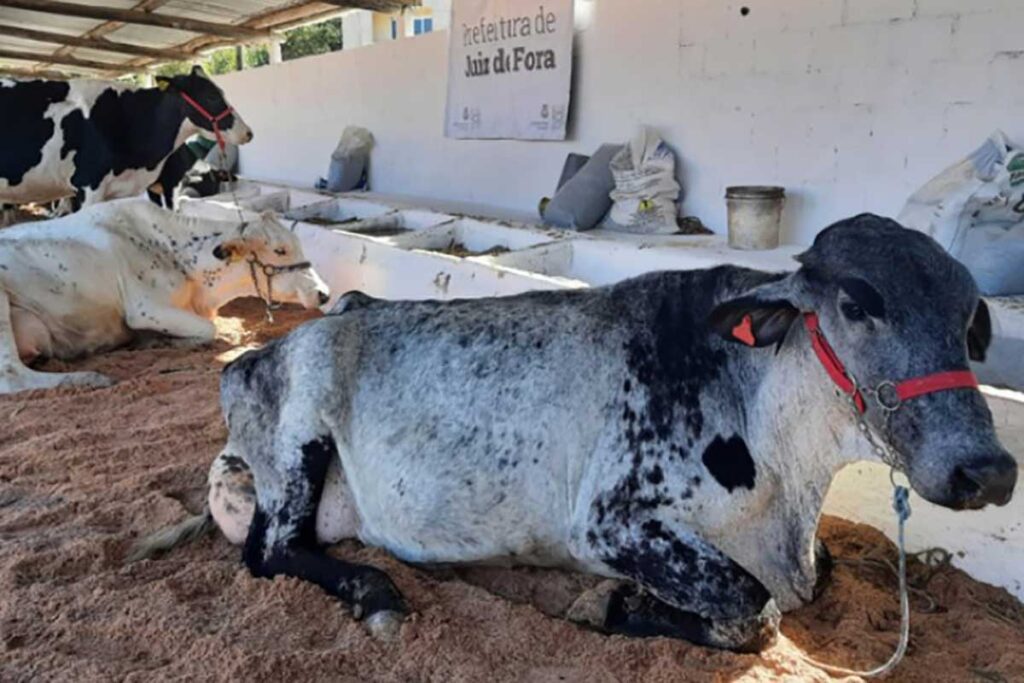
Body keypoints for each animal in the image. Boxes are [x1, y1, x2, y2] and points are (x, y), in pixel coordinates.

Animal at [0, 197, 327, 395]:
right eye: (280, 250)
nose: (323, 293)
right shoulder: (144, 309)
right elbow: (208, 330)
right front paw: (162, 342)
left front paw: (151, 341)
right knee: (11, 375)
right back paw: (88, 379)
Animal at [134, 214, 1015, 651]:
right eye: (857, 303)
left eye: (970, 315)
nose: (990, 470)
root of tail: (250, 360)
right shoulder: (611, 518)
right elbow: (753, 607)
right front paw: (608, 603)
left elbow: (815, 574)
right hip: (299, 442)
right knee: (272, 551)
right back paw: (378, 594)